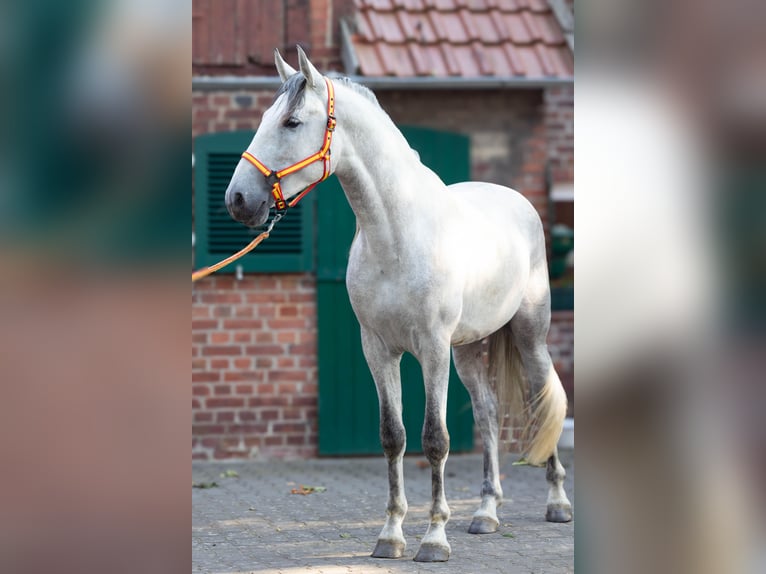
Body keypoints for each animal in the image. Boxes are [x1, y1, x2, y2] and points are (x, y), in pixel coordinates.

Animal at [224, 46, 573, 562]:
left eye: (291, 121)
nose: (238, 199)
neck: (395, 236)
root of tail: (517, 202)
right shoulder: (379, 349)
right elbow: (394, 437)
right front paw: (390, 535)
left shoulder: (431, 348)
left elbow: (435, 439)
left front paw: (434, 538)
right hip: (468, 349)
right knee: (488, 413)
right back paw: (486, 512)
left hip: (529, 336)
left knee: (543, 400)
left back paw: (557, 503)